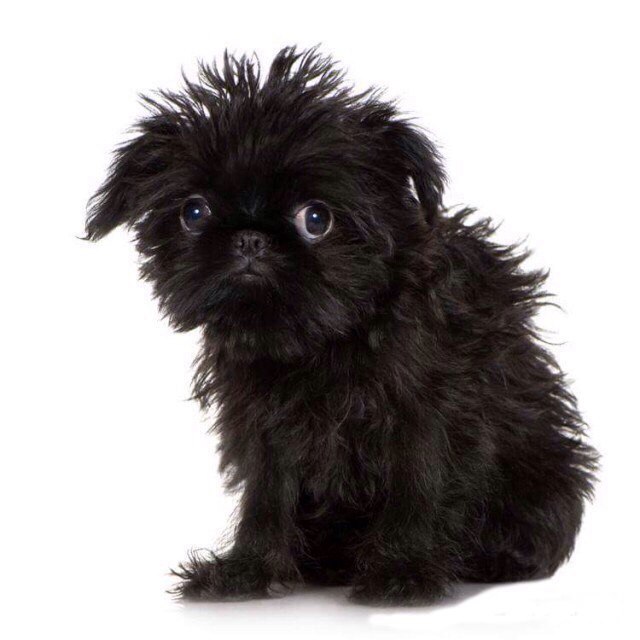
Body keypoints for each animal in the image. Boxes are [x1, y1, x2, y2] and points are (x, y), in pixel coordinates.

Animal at [86, 46, 598, 605]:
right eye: (194, 213)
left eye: (316, 219)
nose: (249, 238)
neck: (324, 339)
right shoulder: (262, 424)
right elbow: (265, 498)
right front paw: (248, 569)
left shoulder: (431, 415)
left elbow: (419, 488)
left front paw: (403, 570)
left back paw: (497, 558)